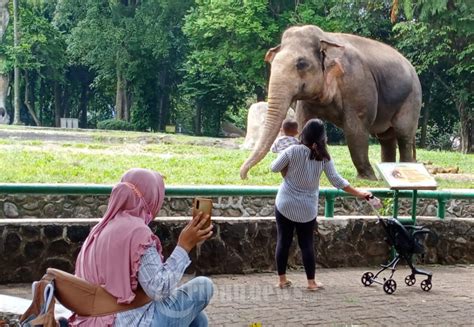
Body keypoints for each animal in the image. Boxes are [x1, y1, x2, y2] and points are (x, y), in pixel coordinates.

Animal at [241, 24, 422, 181]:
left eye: (301, 64)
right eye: (272, 63)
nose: (245, 176)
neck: (326, 38)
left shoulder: (357, 83)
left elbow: (355, 129)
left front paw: (368, 179)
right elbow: (305, 122)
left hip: (412, 97)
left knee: (403, 134)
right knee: (386, 137)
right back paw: (385, 172)